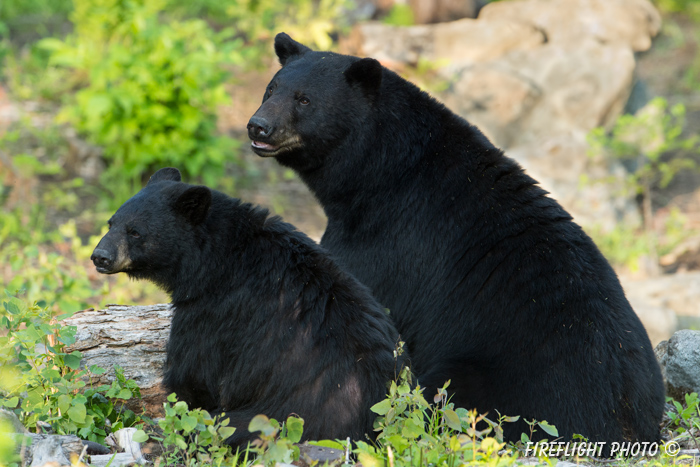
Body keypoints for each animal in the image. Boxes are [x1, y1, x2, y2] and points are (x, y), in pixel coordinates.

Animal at [90, 169, 408, 450]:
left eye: (135, 232)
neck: (218, 258)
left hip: (279, 417)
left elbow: (194, 376)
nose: (100, 256)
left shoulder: (214, 310)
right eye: (111, 222)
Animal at [249, 33, 664, 446]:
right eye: (271, 89)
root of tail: (627, 418)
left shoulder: (387, 238)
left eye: (304, 99)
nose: (258, 126)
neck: (379, 169)